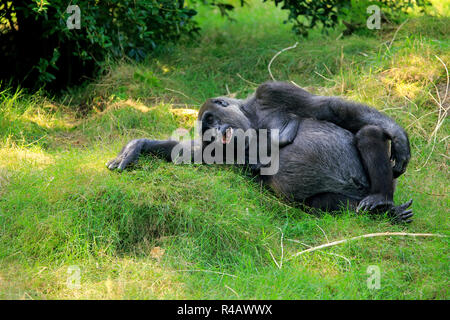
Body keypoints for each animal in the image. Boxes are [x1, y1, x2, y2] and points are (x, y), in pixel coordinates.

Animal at [107, 81, 414, 224]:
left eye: (211, 119)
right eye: (207, 129)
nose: (216, 132)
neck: (251, 116)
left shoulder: (272, 91)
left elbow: (330, 108)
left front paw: (399, 138)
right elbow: (192, 154)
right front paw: (136, 147)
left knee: (368, 133)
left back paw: (382, 198)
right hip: (342, 199)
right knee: (320, 203)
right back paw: (383, 213)